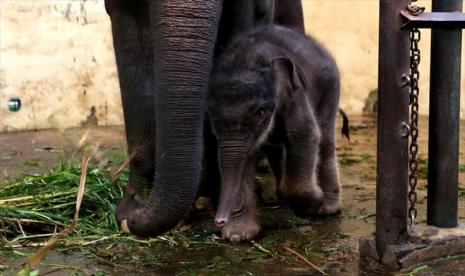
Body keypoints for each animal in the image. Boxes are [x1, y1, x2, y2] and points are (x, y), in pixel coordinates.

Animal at [207, 25, 340, 242]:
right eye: (213, 117)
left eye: (260, 112)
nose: (219, 221)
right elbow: (241, 157)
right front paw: (238, 236)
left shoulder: (295, 93)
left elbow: (305, 135)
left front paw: (315, 201)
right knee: (275, 148)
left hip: (330, 90)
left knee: (325, 140)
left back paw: (328, 209)